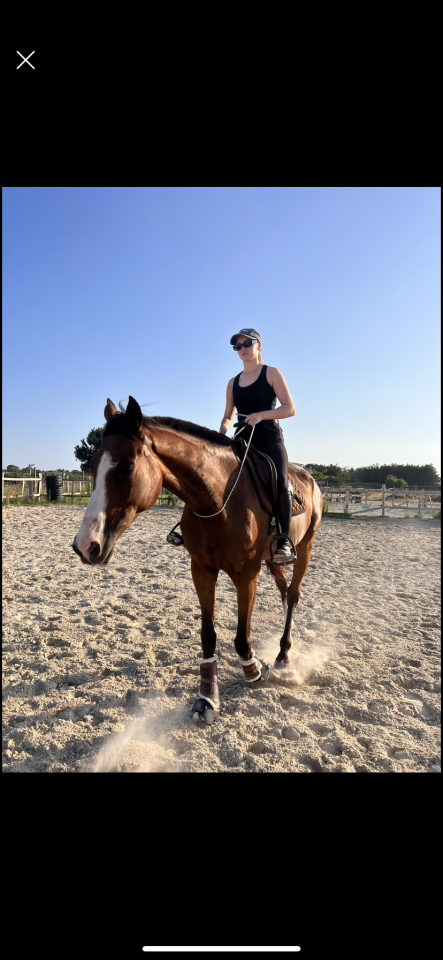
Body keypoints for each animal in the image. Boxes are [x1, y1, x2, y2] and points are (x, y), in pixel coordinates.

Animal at [72, 396, 323, 723]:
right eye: (92, 466)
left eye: (127, 467)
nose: (84, 545)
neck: (219, 498)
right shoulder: (202, 570)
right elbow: (208, 636)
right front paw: (207, 697)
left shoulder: (247, 574)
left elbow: (241, 637)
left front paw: (254, 671)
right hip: (273, 560)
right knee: (283, 591)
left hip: (305, 548)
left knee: (292, 595)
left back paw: (283, 653)